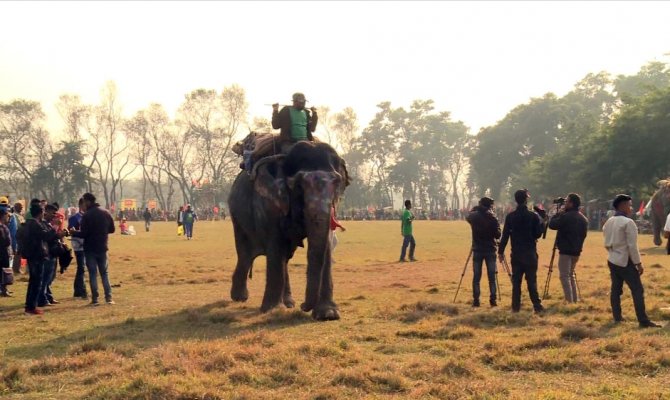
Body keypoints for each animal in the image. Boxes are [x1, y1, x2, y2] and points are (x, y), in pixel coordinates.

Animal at [227, 141, 350, 322]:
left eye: (337, 183)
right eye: (298, 186)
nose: (304, 306)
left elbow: (326, 243)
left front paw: (328, 314)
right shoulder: (269, 203)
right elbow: (275, 244)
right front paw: (272, 310)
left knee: (284, 257)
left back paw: (289, 303)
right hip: (236, 216)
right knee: (245, 254)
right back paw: (240, 297)